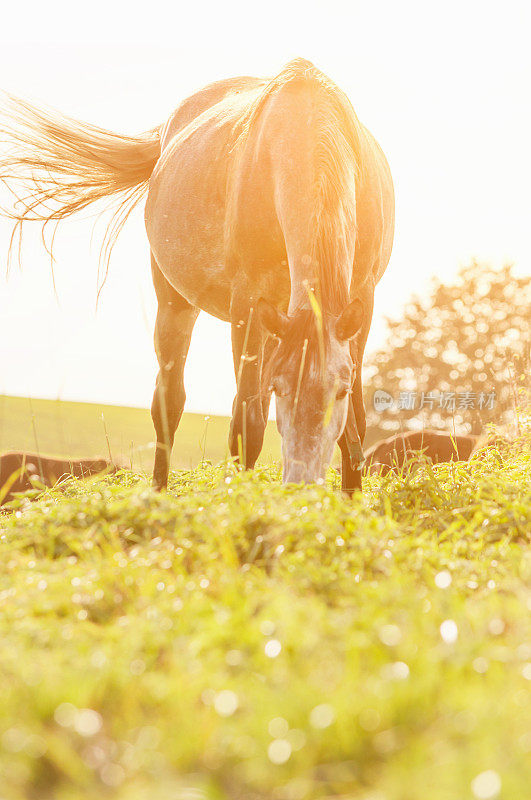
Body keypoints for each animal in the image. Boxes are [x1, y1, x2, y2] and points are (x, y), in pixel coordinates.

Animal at [1, 57, 394, 488]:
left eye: (338, 392)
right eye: (280, 389)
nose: (301, 482)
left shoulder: (360, 304)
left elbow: (356, 423)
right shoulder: (248, 305)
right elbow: (248, 425)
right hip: (176, 304)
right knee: (170, 401)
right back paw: (158, 489)